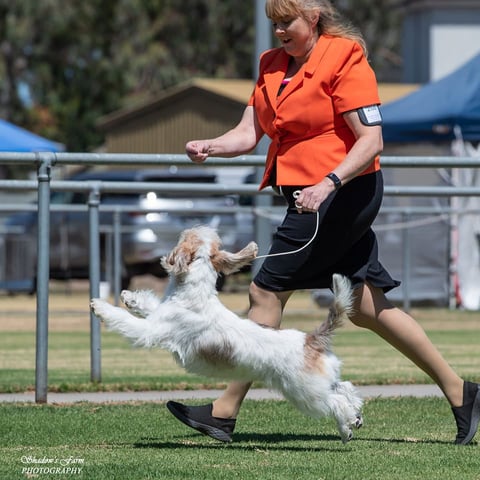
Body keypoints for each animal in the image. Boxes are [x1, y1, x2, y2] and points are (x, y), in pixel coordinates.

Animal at [91, 225, 364, 442]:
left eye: (186, 236)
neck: (195, 295)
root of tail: (311, 339)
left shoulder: (151, 329)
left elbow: (127, 321)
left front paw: (101, 306)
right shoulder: (160, 314)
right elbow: (149, 305)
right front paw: (129, 297)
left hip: (305, 391)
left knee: (337, 403)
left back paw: (347, 428)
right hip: (320, 381)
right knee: (345, 387)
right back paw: (357, 415)